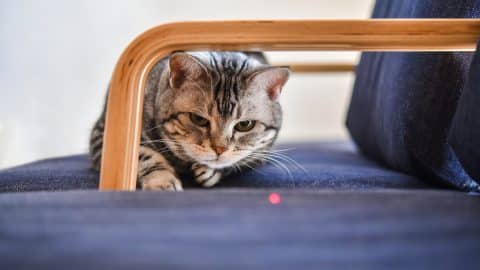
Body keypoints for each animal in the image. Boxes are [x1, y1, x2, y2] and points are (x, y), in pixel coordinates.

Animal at [92, 50, 290, 190]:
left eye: (244, 125)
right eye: (198, 119)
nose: (220, 149)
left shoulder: (261, 152)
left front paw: (210, 171)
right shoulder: (103, 135)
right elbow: (144, 155)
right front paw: (162, 181)